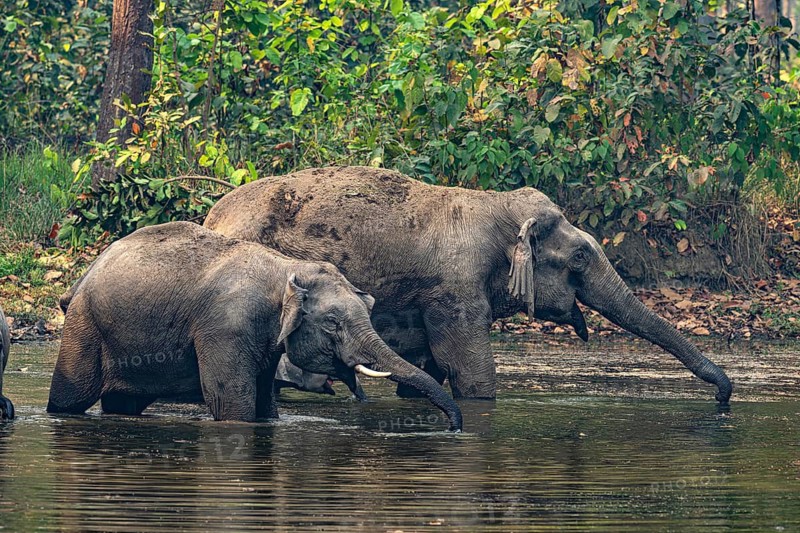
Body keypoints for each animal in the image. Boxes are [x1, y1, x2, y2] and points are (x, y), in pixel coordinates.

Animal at [46, 221, 462, 430]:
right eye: (332, 323)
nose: (454, 428)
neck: (287, 268)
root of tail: (83, 277)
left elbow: (265, 404)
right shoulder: (225, 327)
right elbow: (232, 403)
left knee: (123, 403)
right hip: (85, 326)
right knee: (71, 397)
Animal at [204, 166, 732, 403]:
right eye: (580, 256)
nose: (725, 397)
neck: (498, 207)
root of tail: (211, 214)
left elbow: (427, 374)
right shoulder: (455, 290)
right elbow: (472, 373)